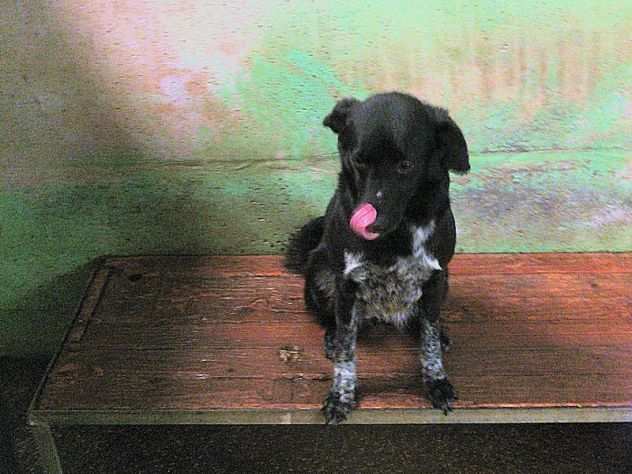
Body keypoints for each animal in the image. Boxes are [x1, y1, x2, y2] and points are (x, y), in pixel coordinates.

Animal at [286, 90, 470, 424]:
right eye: (359, 160)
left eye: (406, 165)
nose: (372, 224)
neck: (397, 237)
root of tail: (381, 317)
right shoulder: (346, 284)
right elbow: (347, 351)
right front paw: (341, 396)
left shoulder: (435, 277)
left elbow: (429, 341)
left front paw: (436, 381)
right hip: (320, 274)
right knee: (334, 320)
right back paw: (332, 335)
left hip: (444, 282)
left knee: (424, 321)